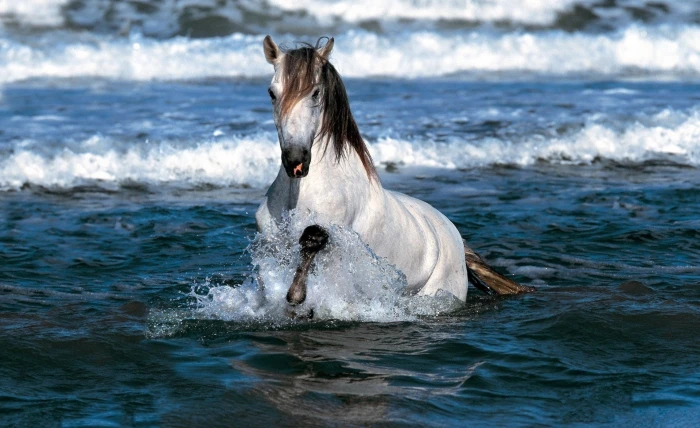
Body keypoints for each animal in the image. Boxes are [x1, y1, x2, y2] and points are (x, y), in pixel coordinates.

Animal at [255, 36, 533, 311]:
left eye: (315, 92)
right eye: (271, 93)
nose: (296, 161)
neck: (301, 193)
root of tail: (455, 236)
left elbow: (313, 239)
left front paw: (296, 296)